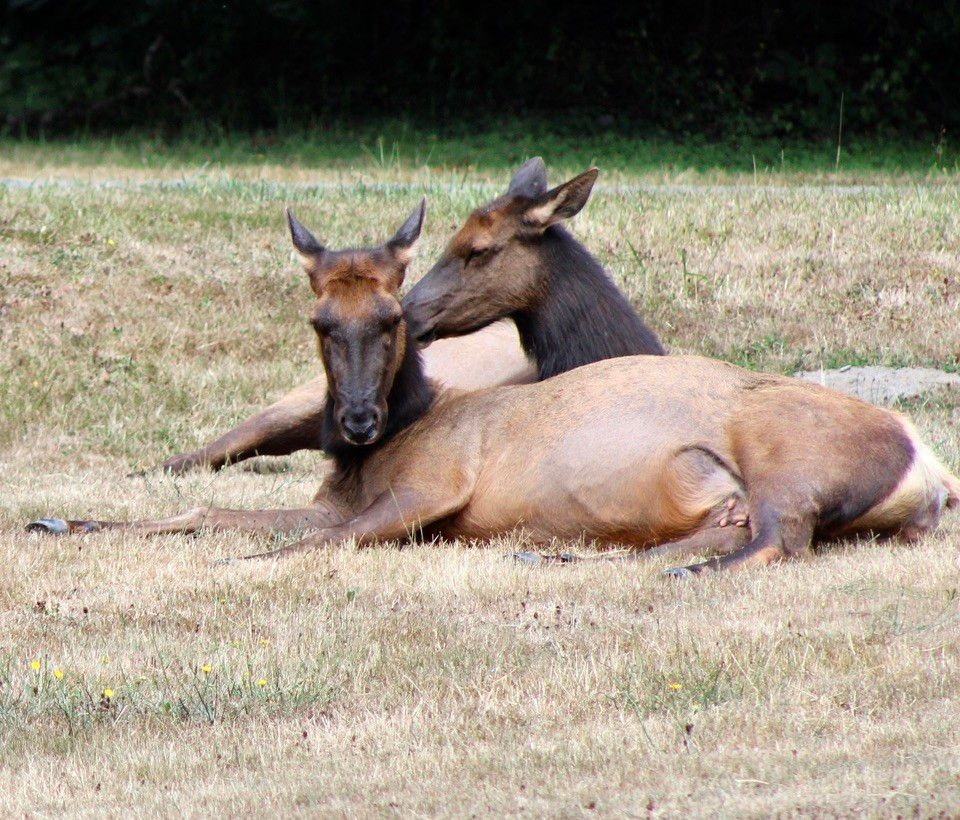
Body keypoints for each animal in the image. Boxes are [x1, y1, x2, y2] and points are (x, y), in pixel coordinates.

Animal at [28, 190, 959, 576]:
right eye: (320, 322)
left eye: (391, 318)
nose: (357, 421)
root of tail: (929, 469)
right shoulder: (337, 493)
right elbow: (208, 509)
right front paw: (61, 519)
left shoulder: (436, 485)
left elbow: (319, 539)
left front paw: (245, 562)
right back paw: (551, 554)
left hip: (783, 452)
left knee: (774, 533)